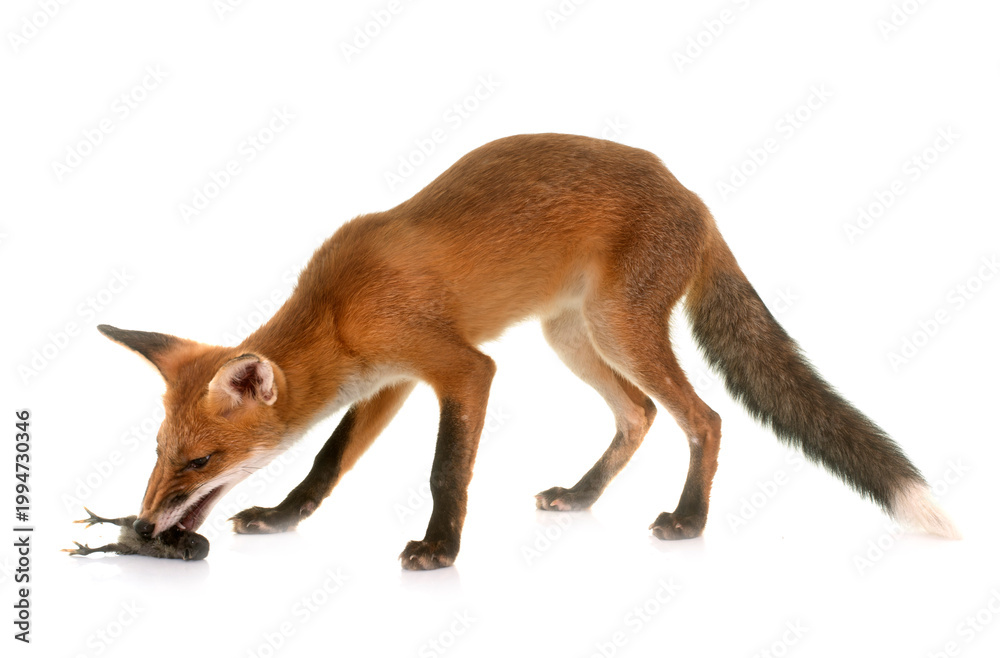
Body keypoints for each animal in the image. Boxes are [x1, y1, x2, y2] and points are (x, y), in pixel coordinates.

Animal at [97, 133, 958, 570]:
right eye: (159, 451)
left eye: (200, 460)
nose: (141, 524)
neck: (338, 312)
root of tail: (694, 196)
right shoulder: (392, 381)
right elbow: (327, 462)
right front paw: (281, 517)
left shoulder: (460, 368)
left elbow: (446, 471)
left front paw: (441, 549)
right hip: (571, 336)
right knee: (639, 415)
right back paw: (580, 497)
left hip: (619, 328)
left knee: (703, 418)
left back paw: (688, 521)